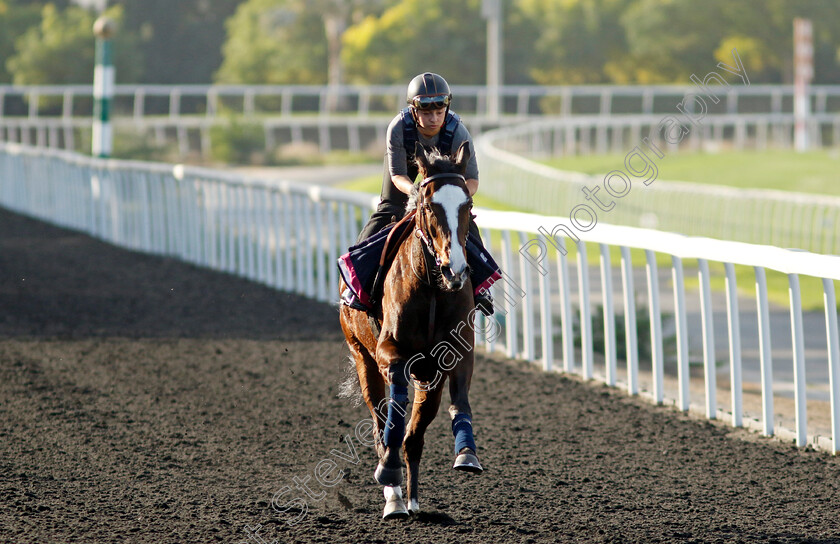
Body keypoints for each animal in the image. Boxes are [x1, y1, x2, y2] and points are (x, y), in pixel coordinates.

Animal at [340, 139, 482, 520]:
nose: (455, 269)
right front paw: (389, 474)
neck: (432, 287)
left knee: (414, 436)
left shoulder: (453, 353)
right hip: (361, 354)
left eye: (468, 205)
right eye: (430, 206)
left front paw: (467, 453)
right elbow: (396, 409)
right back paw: (394, 498)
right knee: (380, 425)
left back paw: (412, 499)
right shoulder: (389, 351)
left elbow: (456, 400)